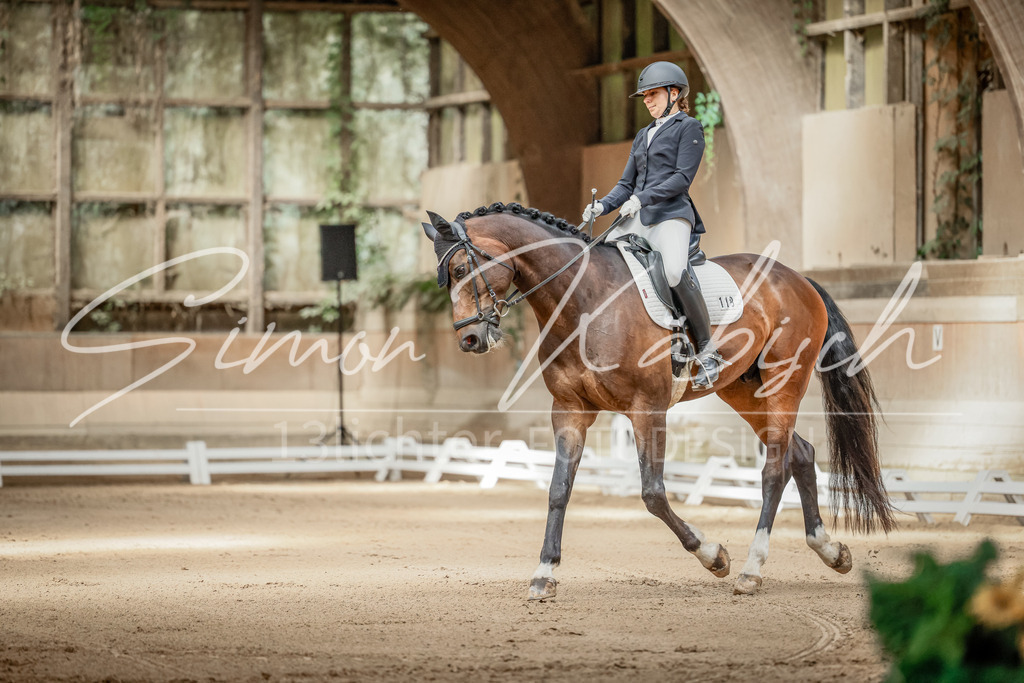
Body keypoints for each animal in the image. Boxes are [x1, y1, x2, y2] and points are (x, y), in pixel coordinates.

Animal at [420, 202, 896, 599]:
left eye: (461, 267)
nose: (468, 339)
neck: (584, 301)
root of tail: (797, 277)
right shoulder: (569, 411)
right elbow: (558, 489)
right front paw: (544, 574)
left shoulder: (647, 409)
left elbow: (652, 492)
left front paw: (712, 554)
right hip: (745, 390)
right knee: (801, 453)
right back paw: (829, 550)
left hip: (784, 383)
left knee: (774, 469)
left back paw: (750, 569)